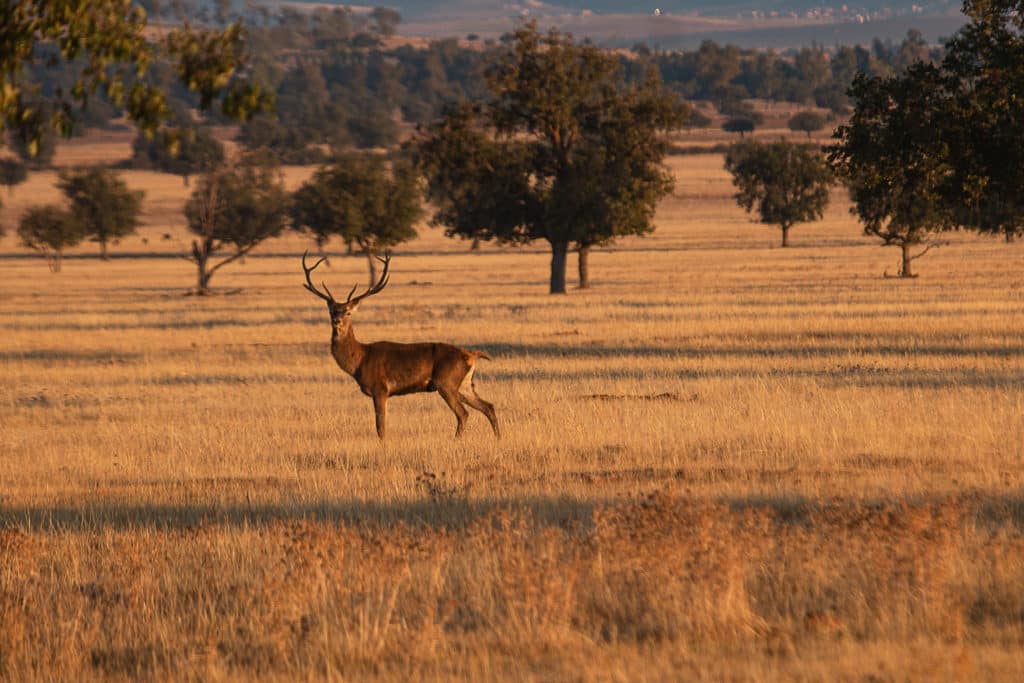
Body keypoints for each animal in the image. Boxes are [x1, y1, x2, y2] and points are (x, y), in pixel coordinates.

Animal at [299, 249, 499, 438]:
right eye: (332, 310)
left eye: (348, 311)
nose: (337, 321)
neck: (359, 360)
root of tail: (471, 355)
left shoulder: (380, 388)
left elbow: (380, 427)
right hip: (465, 384)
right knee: (489, 406)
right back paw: (498, 438)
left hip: (446, 382)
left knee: (463, 413)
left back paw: (456, 440)